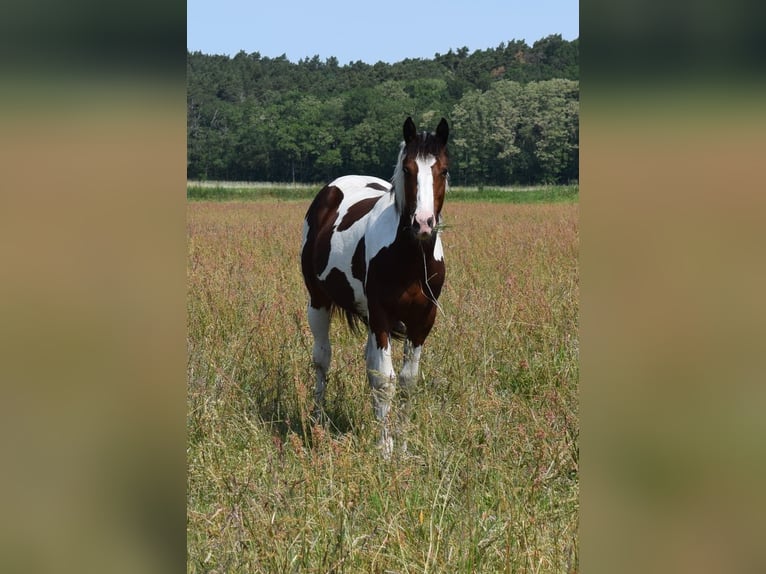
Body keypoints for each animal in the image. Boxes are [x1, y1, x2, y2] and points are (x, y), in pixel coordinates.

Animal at [301, 116, 449, 456]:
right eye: (407, 169)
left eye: (444, 170)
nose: (423, 224)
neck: (409, 259)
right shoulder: (382, 315)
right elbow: (385, 379)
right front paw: (384, 449)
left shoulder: (423, 321)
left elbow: (406, 381)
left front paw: (402, 445)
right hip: (318, 302)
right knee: (322, 358)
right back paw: (317, 421)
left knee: (370, 366)